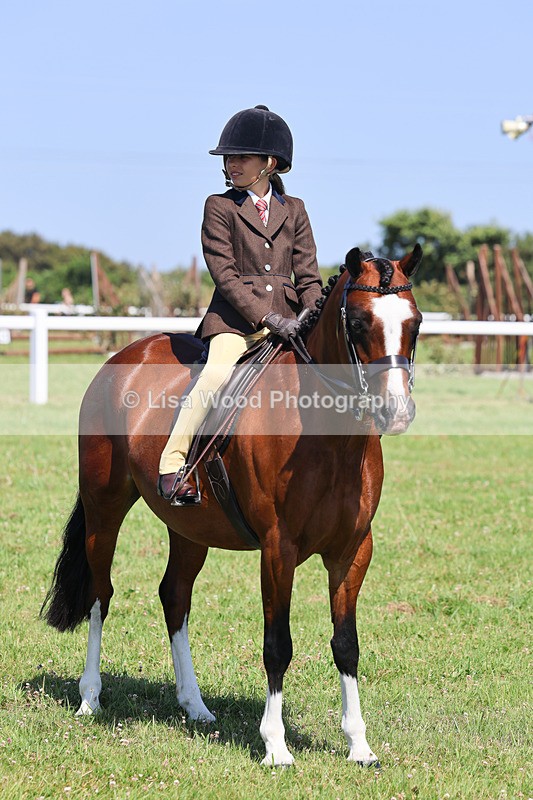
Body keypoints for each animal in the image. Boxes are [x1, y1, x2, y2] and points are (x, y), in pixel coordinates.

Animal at [41, 244, 422, 767]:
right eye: (361, 323)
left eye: (416, 323)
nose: (396, 412)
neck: (325, 436)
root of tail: (124, 355)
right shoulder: (278, 549)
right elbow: (278, 644)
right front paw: (276, 747)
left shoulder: (352, 551)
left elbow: (346, 644)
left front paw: (359, 745)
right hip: (105, 508)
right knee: (102, 596)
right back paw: (89, 697)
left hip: (188, 528)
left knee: (174, 596)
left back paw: (195, 705)